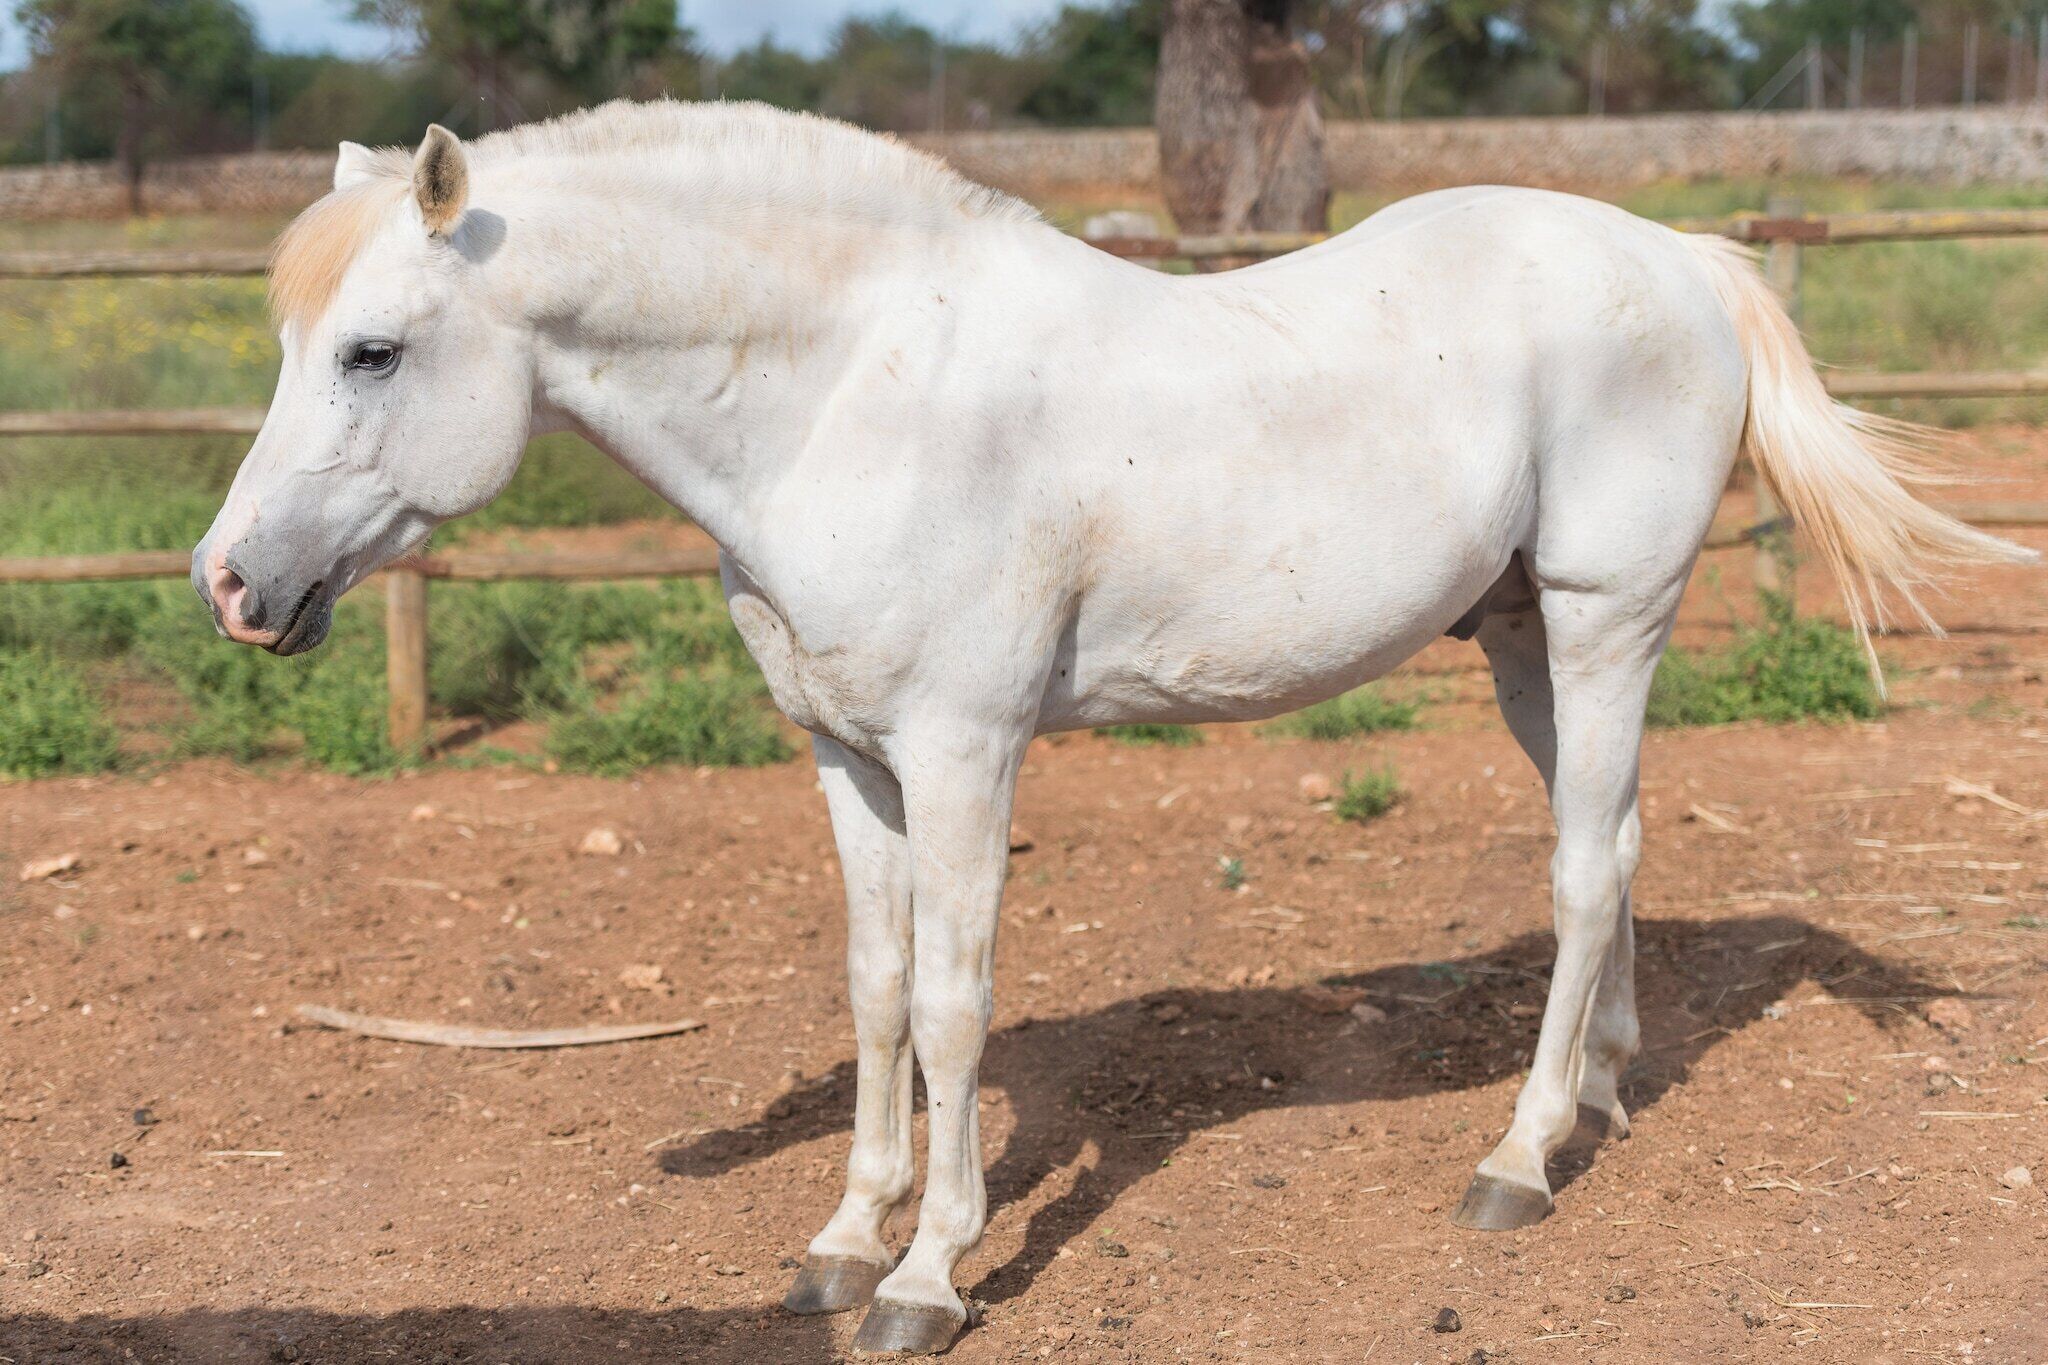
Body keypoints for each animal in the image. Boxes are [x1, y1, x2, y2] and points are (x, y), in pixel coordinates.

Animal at [192, 101, 2031, 1355]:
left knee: (1582, 875)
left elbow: (952, 1006)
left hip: (1602, 620)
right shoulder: (847, 758)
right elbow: (873, 990)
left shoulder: (961, 751)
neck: (847, 392)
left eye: (371, 349)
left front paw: (927, 1273)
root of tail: (1682, 260)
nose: (230, 583)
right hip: (1525, 642)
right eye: (288, 340)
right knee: (1625, 842)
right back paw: (1601, 1097)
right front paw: (838, 1239)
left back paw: (1517, 1160)